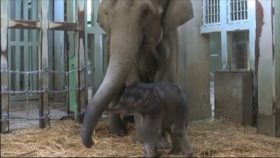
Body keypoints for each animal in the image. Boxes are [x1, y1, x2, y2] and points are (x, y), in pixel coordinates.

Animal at [82, 0, 194, 148]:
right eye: (106, 13)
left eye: (146, 12)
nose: (91, 142)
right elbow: (132, 79)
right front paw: (141, 140)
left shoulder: (171, 41)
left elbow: (165, 78)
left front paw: (162, 144)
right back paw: (118, 132)